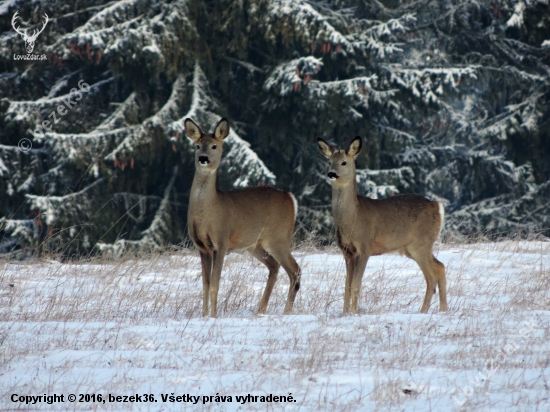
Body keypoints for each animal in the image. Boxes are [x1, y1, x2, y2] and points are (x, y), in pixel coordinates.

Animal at [184, 117, 302, 318]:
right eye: (197, 146)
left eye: (214, 146)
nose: (203, 158)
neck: (208, 212)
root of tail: (290, 198)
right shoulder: (202, 247)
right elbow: (205, 285)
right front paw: (204, 315)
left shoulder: (221, 241)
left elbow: (215, 283)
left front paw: (213, 316)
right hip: (256, 244)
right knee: (274, 267)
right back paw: (261, 310)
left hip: (278, 237)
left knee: (295, 270)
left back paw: (286, 311)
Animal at [320, 137, 448, 314]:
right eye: (329, 161)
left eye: (344, 162)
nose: (331, 174)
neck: (352, 218)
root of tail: (436, 205)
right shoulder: (347, 252)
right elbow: (347, 286)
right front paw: (345, 313)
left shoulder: (364, 247)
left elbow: (356, 284)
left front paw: (354, 313)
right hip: (411, 248)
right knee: (439, 268)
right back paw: (441, 310)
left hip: (421, 243)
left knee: (433, 274)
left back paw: (426, 311)